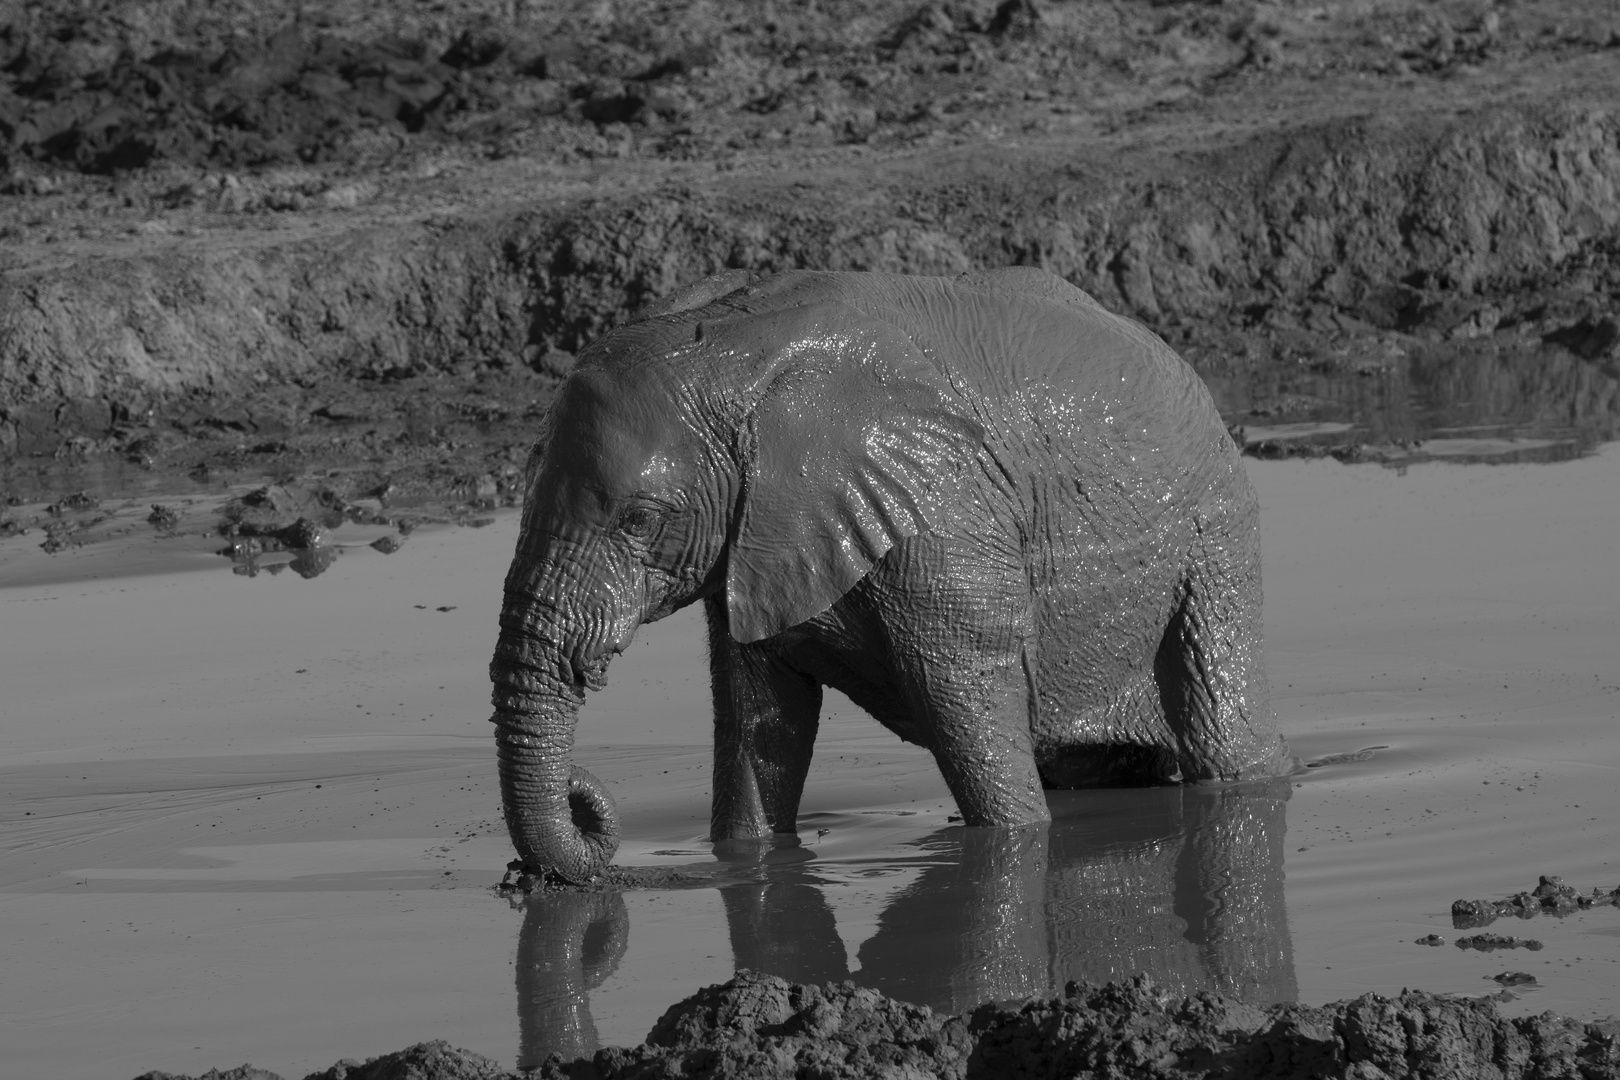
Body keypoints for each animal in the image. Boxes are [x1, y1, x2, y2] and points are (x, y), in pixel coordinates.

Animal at [486, 265, 1296, 880]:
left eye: (639, 519)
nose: (585, 794)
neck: (739, 355)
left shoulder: (945, 522)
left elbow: (971, 714)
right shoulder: (758, 541)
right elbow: (761, 721)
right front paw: (745, 862)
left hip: (1215, 529)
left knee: (1222, 729)